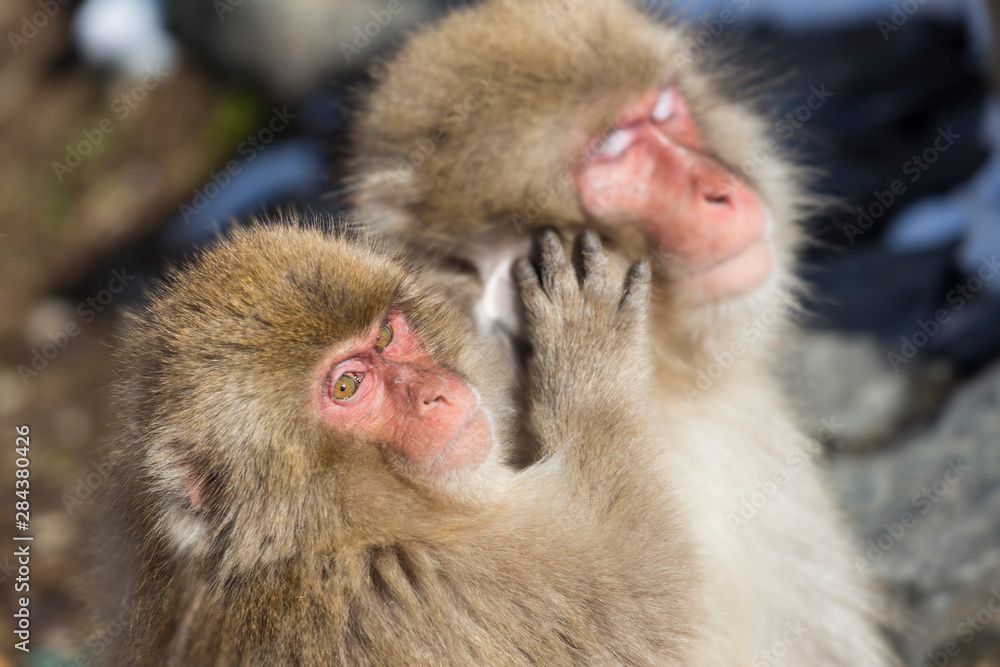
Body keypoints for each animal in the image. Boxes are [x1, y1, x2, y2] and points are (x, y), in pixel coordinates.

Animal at [92, 221, 703, 665]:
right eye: (346, 386)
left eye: (385, 335)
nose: (435, 393)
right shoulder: (444, 581)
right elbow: (651, 588)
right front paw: (588, 353)